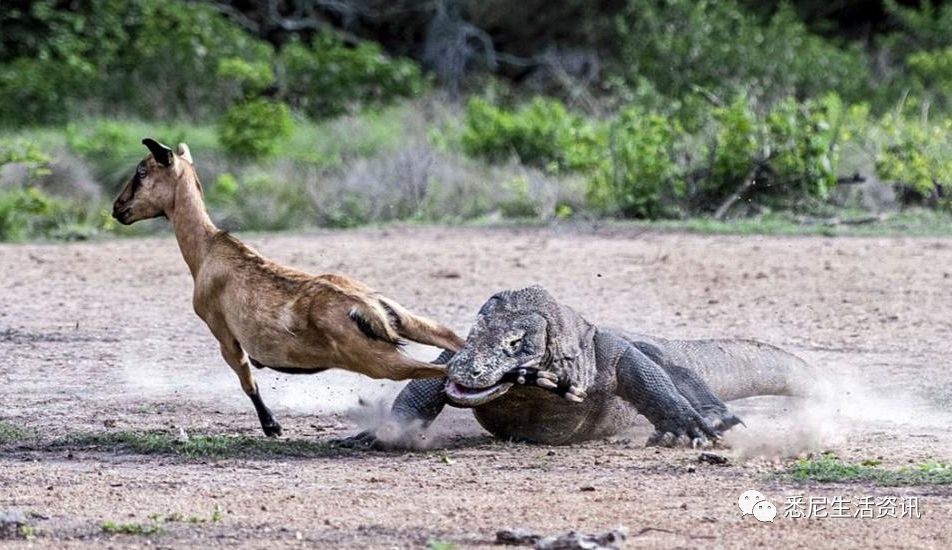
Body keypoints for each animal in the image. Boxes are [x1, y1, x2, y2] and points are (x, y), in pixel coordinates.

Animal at [113, 140, 462, 438]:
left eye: (142, 171)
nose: (118, 208)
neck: (207, 250)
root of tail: (366, 307)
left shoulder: (223, 333)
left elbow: (247, 380)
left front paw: (272, 426)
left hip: (377, 361)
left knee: (444, 369)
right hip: (405, 321)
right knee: (451, 339)